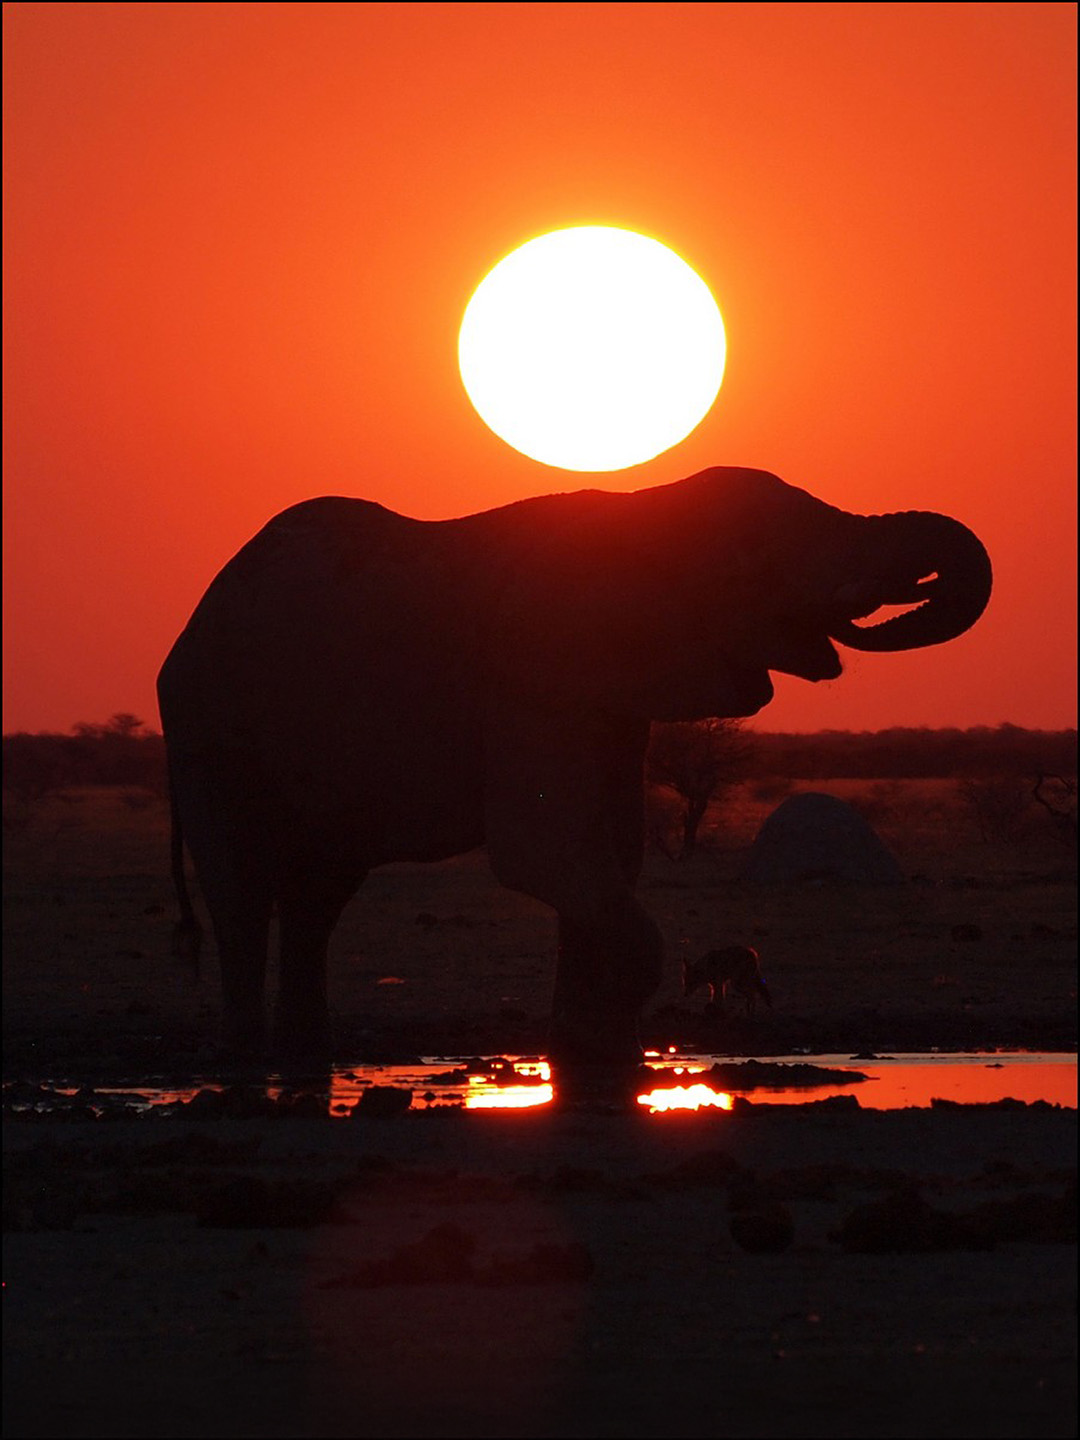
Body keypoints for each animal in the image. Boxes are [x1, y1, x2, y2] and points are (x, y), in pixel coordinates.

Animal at [157, 466, 992, 1083]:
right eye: (764, 552)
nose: (894, 593)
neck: (643, 506)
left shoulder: (611, 698)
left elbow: (609, 856)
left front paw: (589, 1056)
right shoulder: (538, 673)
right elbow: (548, 856)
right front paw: (599, 1060)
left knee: (318, 897)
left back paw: (310, 1058)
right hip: (207, 729)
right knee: (241, 890)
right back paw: (246, 1061)